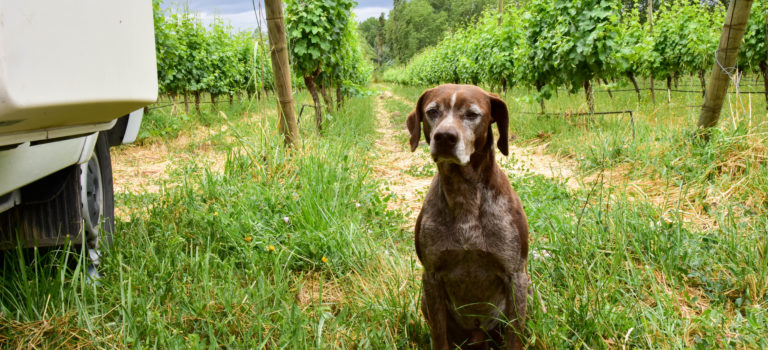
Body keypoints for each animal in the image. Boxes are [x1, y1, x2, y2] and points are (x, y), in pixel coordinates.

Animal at [408, 84, 528, 348]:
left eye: (472, 114)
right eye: (432, 111)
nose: (445, 137)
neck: (465, 195)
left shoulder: (515, 277)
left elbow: (515, 338)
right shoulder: (431, 277)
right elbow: (439, 336)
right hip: (425, 300)